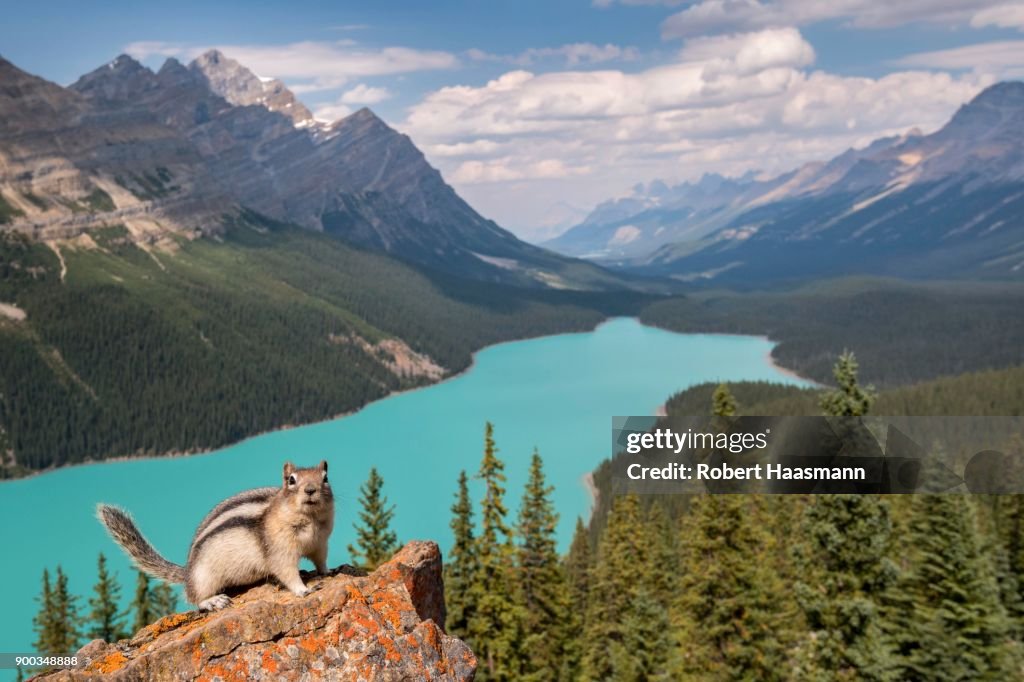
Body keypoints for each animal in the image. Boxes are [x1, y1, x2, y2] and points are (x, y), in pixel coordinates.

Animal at [98, 458, 333, 606]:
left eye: (325, 477)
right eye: (291, 480)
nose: (310, 490)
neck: (310, 520)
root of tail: (188, 572)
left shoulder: (320, 542)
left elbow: (320, 559)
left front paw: (327, 571)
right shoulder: (279, 548)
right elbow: (286, 570)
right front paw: (303, 589)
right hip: (204, 578)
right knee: (194, 598)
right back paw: (213, 601)